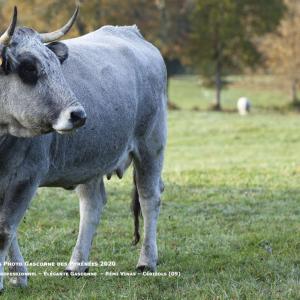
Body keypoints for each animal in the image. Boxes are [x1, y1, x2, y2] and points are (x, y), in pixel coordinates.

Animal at [0, 5, 166, 290]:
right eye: (29, 68)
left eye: (56, 65)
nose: (77, 114)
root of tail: (130, 31)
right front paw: (17, 275)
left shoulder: (25, 177)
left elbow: (5, 229)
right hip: (91, 161)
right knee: (92, 205)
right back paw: (76, 265)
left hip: (151, 146)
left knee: (149, 199)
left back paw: (146, 261)